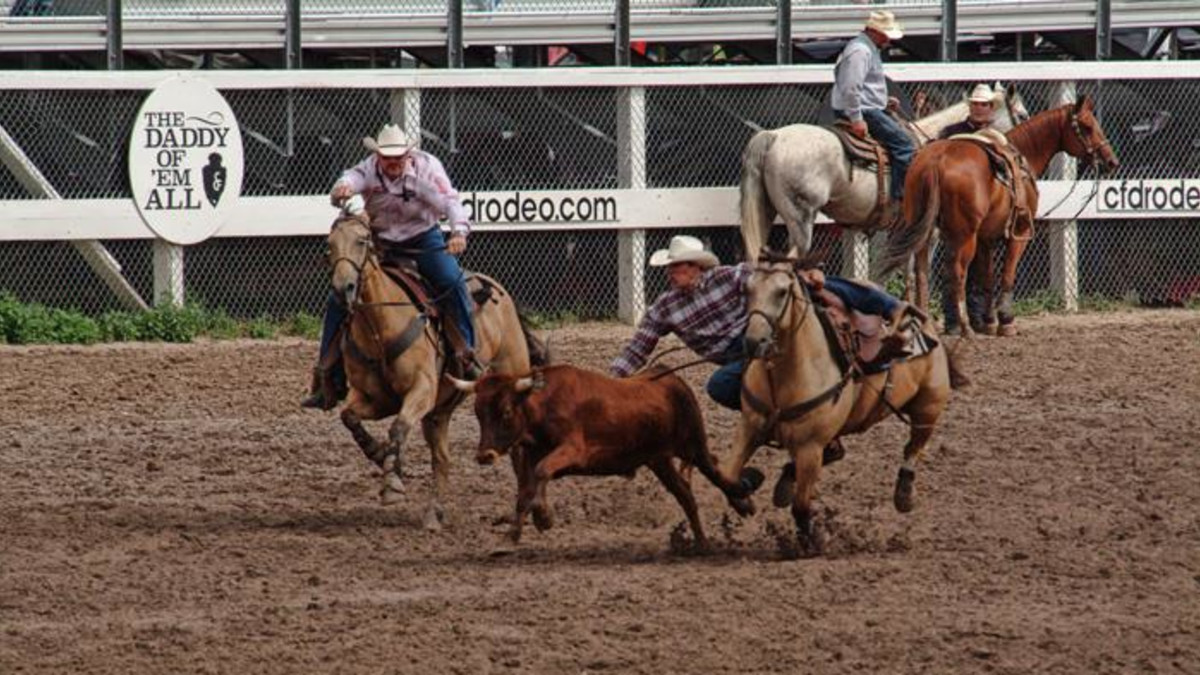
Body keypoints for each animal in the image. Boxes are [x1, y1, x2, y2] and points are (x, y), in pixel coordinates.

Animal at [319, 201, 544, 528]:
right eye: (330, 245)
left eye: (362, 241)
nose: (342, 289)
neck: (379, 328)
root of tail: (500, 293)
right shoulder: (375, 399)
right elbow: (350, 417)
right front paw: (378, 454)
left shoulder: (421, 390)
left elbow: (399, 427)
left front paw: (392, 484)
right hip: (438, 413)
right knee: (442, 459)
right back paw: (434, 514)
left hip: (508, 378)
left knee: (517, 448)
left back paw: (523, 509)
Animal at [710, 252, 964, 557]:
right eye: (747, 290)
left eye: (782, 292)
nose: (753, 341)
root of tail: (924, 322)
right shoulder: (750, 428)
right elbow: (726, 475)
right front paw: (744, 497)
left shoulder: (810, 447)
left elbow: (801, 507)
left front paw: (813, 543)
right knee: (836, 453)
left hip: (928, 408)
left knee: (913, 447)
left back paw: (904, 495)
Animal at [734, 82, 1027, 260]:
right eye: (1023, 116)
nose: (1016, 156)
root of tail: (773, 136)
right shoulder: (927, 232)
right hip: (801, 219)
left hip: (765, 211)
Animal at [878, 93, 1118, 333]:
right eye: (1087, 127)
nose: (1111, 161)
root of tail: (936, 160)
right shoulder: (1019, 232)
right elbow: (1007, 274)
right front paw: (1005, 320)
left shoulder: (986, 238)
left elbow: (987, 278)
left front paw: (988, 321)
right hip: (964, 235)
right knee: (957, 271)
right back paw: (963, 325)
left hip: (926, 230)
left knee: (921, 272)